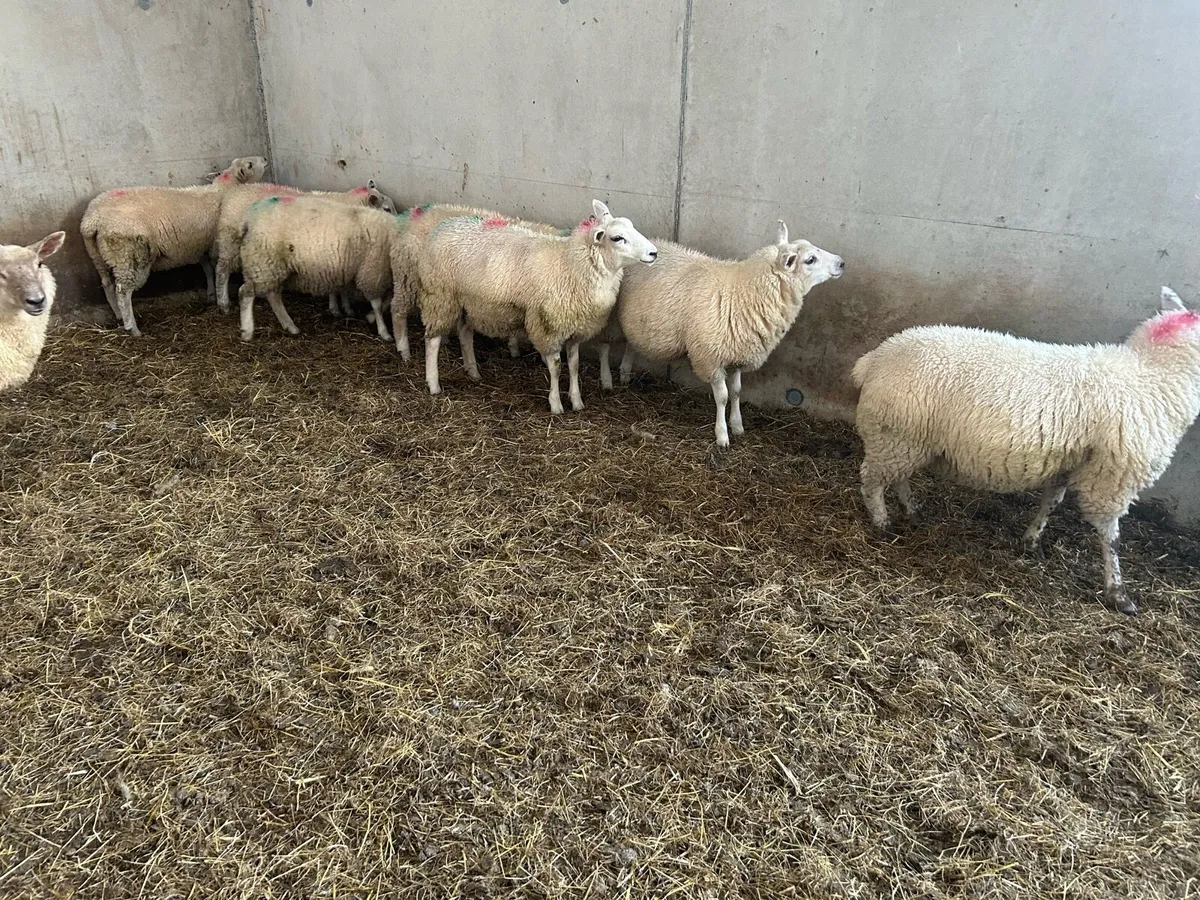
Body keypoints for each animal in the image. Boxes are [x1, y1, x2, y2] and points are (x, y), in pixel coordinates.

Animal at [80, 156, 268, 337]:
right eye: (250, 165)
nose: (265, 159)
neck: (223, 190)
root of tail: (91, 220)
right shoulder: (216, 246)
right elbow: (218, 271)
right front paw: (220, 298)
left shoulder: (201, 247)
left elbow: (207, 270)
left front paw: (210, 294)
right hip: (129, 255)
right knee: (123, 292)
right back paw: (132, 328)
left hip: (100, 257)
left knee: (107, 284)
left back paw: (118, 315)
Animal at [211, 179, 395, 338]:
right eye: (387, 208)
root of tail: (234, 192)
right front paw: (337, 308)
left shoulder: (341, 260)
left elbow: (340, 287)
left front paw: (344, 308)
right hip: (234, 246)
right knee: (222, 271)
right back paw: (225, 305)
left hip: (267, 263)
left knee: (270, 292)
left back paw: (288, 325)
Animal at [417, 200, 657, 414]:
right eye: (617, 238)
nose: (653, 253)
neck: (572, 264)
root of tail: (445, 225)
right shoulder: (548, 327)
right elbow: (556, 367)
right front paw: (556, 405)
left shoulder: (575, 329)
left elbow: (574, 365)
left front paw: (577, 401)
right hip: (440, 296)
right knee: (432, 340)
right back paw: (433, 384)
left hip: (470, 303)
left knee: (465, 333)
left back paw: (473, 372)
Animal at [599, 222, 844, 446]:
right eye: (810, 259)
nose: (841, 263)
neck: (743, 292)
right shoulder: (711, 357)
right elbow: (723, 397)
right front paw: (722, 435)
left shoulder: (737, 354)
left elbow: (736, 392)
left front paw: (737, 426)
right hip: (610, 319)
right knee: (604, 346)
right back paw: (607, 380)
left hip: (637, 320)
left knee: (631, 343)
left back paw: (625, 373)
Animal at [851, 287, 1200, 615]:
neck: (1152, 373)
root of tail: (874, 359)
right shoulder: (1112, 478)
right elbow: (1110, 535)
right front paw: (1118, 593)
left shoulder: (1067, 464)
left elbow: (1051, 502)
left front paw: (1032, 541)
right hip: (894, 436)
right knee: (871, 480)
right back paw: (882, 521)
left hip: (906, 439)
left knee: (898, 477)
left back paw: (912, 509)